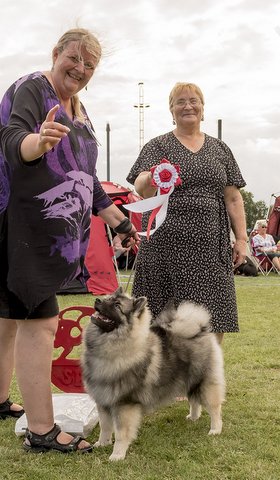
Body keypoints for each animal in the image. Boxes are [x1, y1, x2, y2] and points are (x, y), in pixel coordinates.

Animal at [81, 286, 225, 460]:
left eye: (117, 305)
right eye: (108, 298)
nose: (98, 300)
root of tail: (200, 330)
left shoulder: (124, 404)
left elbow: (121, 433)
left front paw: (117, 455)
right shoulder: (103, 401)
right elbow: (105, 427)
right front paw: (102, 443)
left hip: (204, 383)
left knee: (214, 407)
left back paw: (215, 429)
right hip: (189, 380)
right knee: (194, 401)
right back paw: (193, 417)